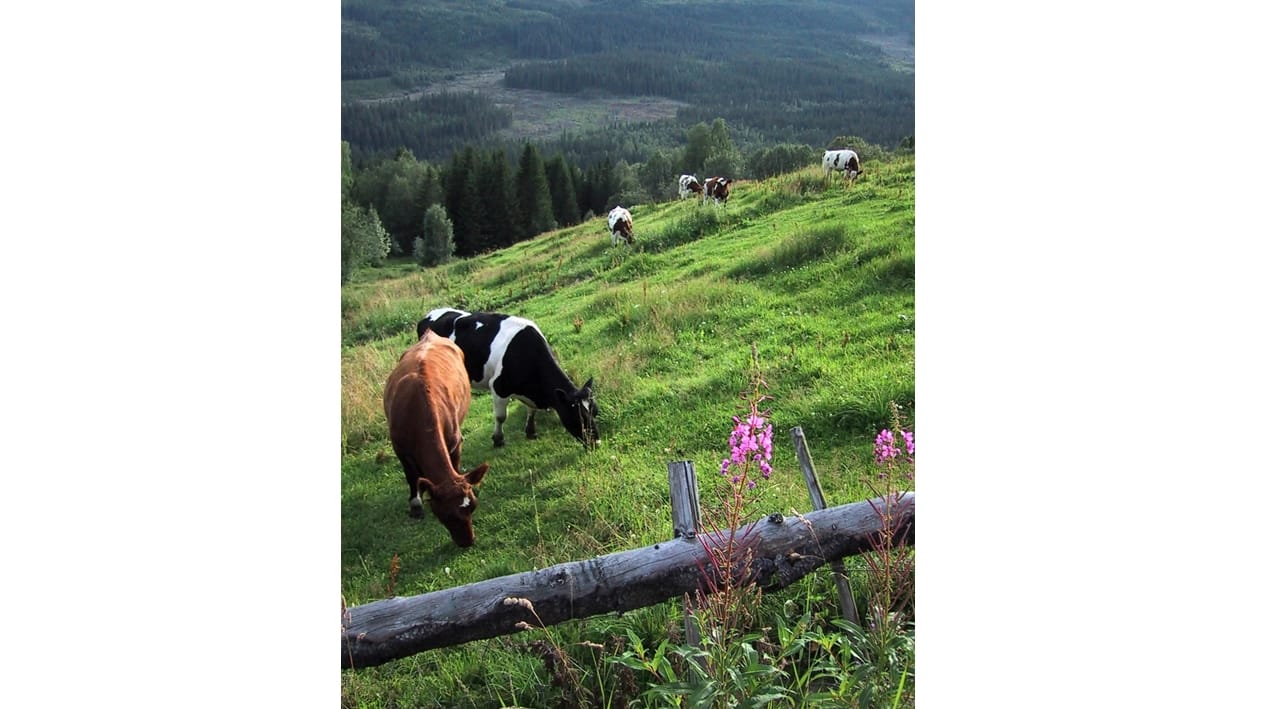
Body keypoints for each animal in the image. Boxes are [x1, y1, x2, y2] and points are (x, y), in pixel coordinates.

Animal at [379, 329, 488, 544]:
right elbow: (410, 476)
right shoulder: (400, 449)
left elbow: (455, 466)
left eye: (473, 506)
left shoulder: (455, 442)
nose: (468, 542)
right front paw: (416, 504)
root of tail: (430, 334)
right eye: (447, 515)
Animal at [410, 308, 597, 448]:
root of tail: (427, 316)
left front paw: (531, 431)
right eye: (579, 417)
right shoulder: (498, 387)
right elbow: (501, 417)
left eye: (595, 412)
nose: (597, 442)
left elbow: (531, 410)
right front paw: (498, 439)